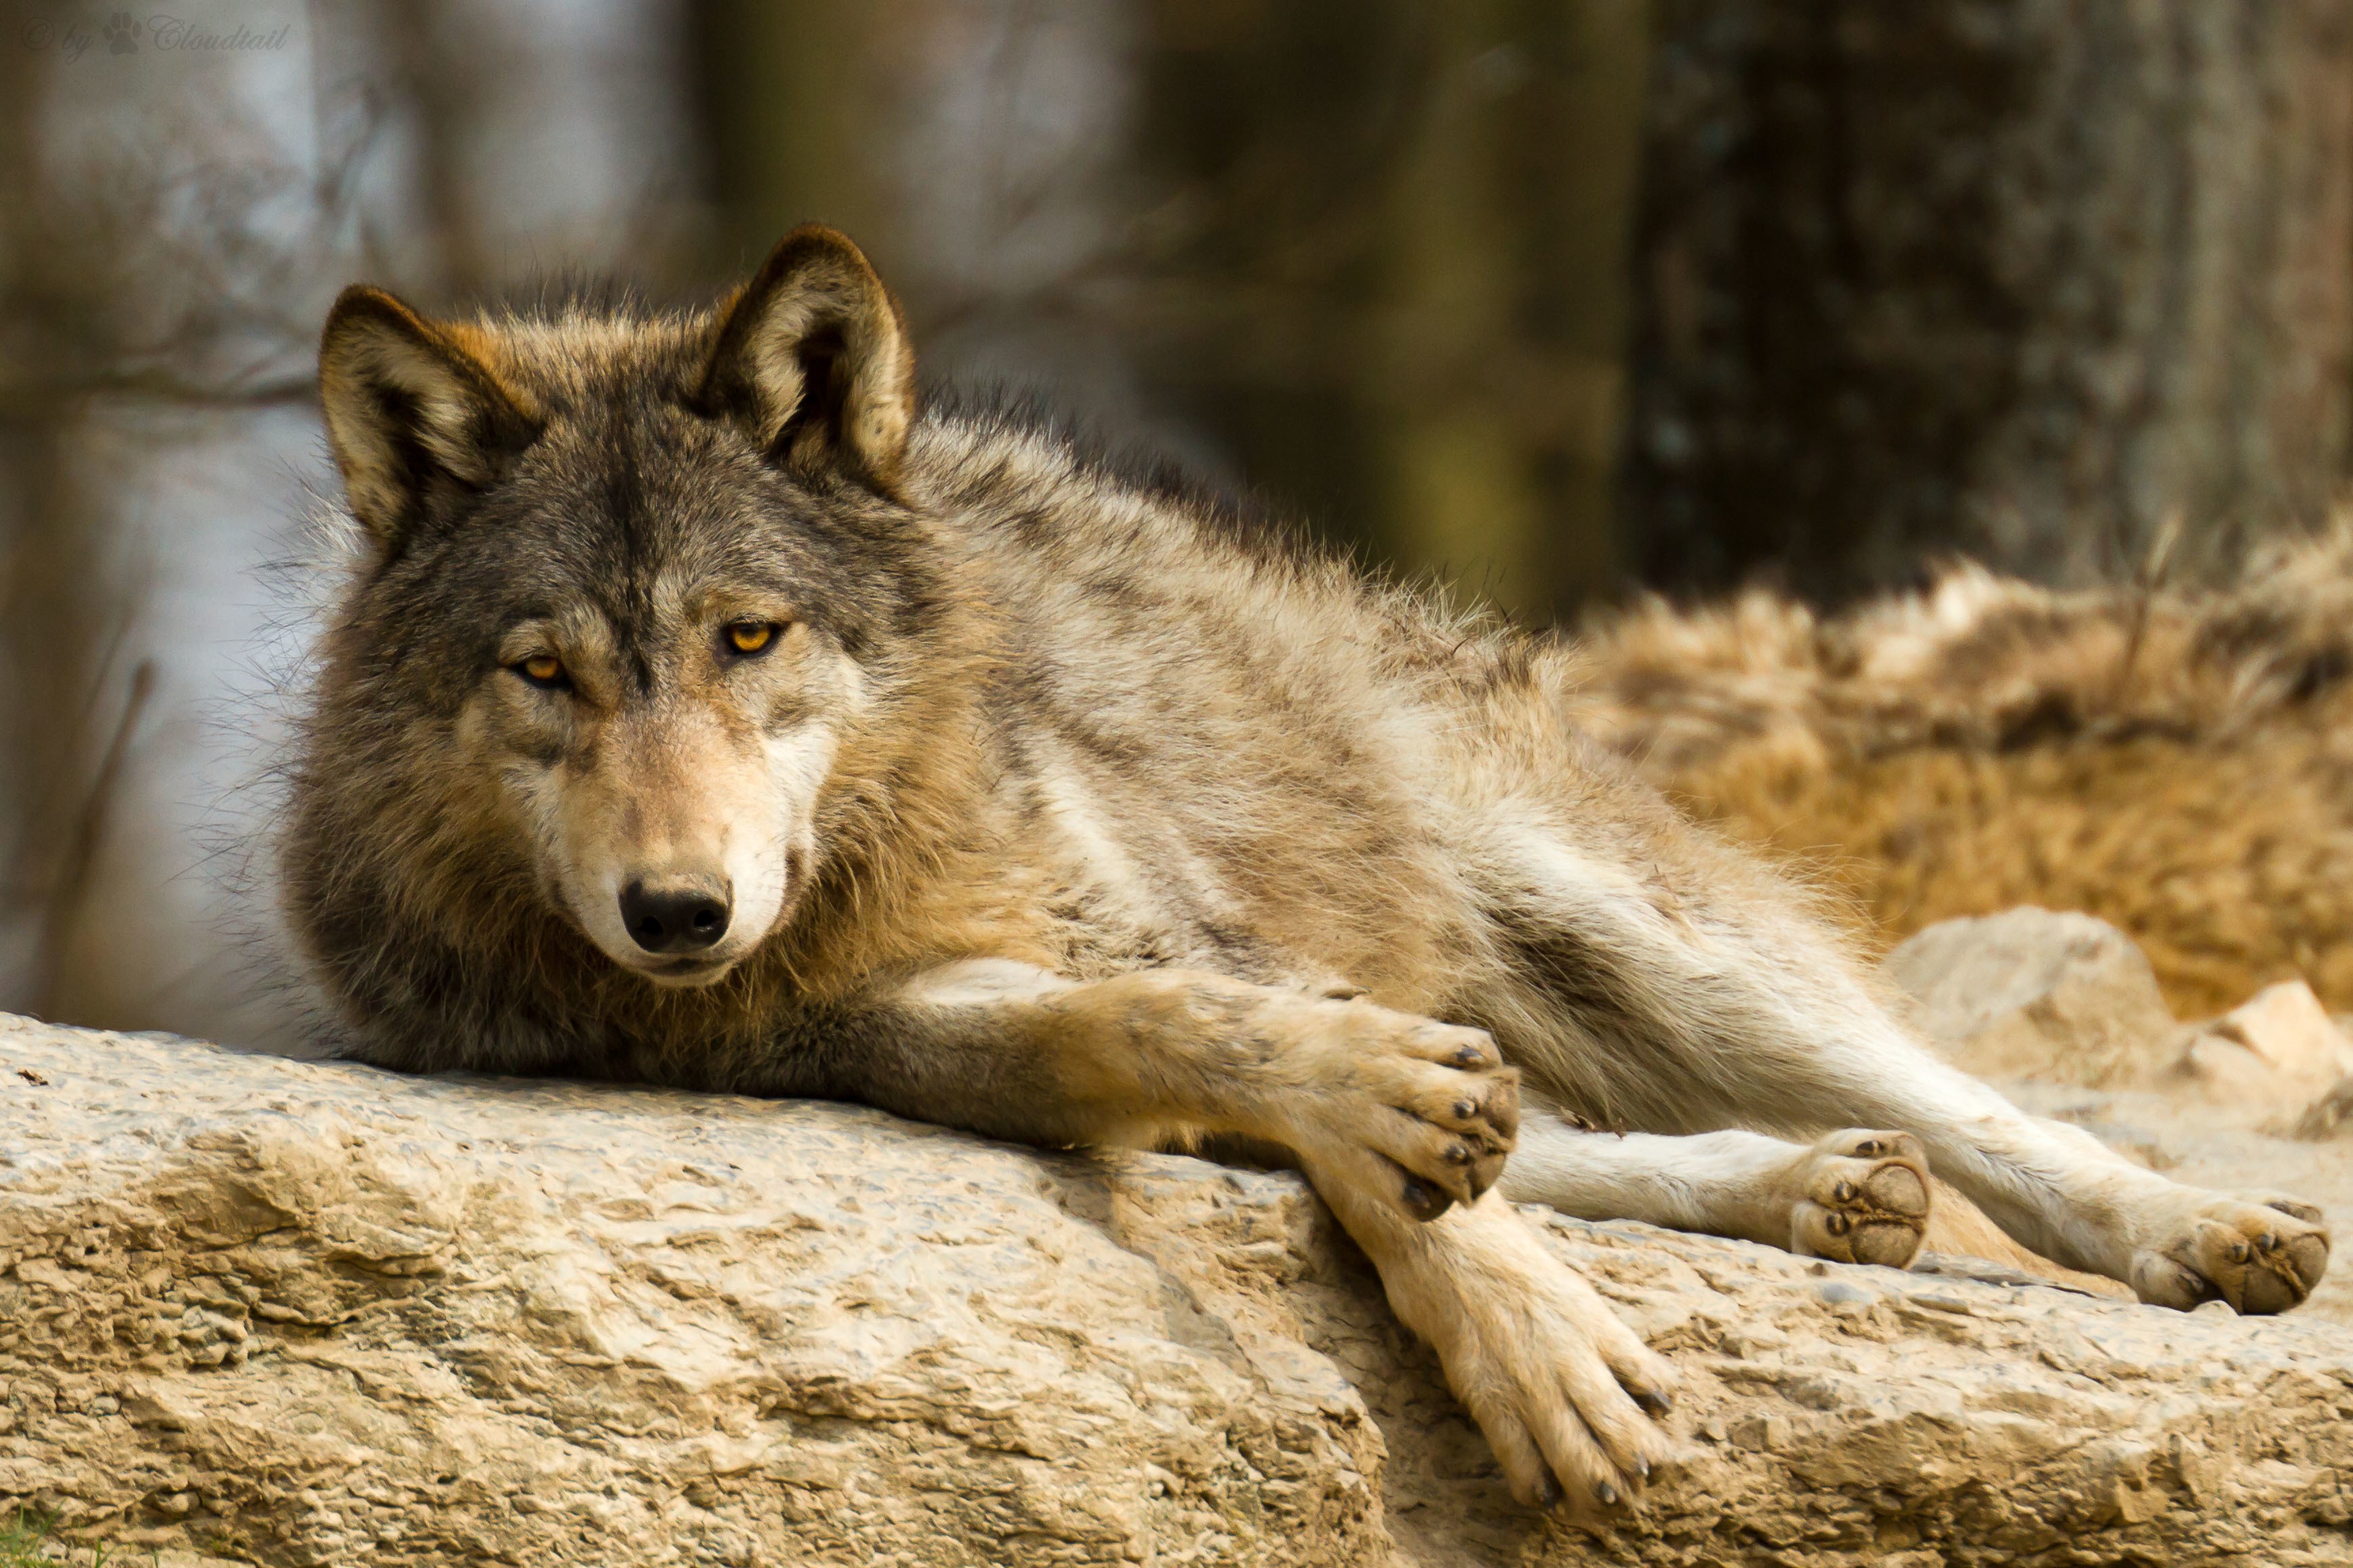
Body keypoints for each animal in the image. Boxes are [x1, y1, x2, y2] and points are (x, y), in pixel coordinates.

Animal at [289, 227, 2330, 1515]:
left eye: (745, 638)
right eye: (545, 673)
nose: (679, 913)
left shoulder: (1172, 918)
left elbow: (1388, 1135)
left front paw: (1516, 1314)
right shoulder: (893, 1029)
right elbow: (1219, 1050)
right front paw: (1506, 1271)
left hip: (1650, 939)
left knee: (1973, 1111)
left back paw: (2185, 1227)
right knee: (1569, 1126)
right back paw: (1819, 1190)